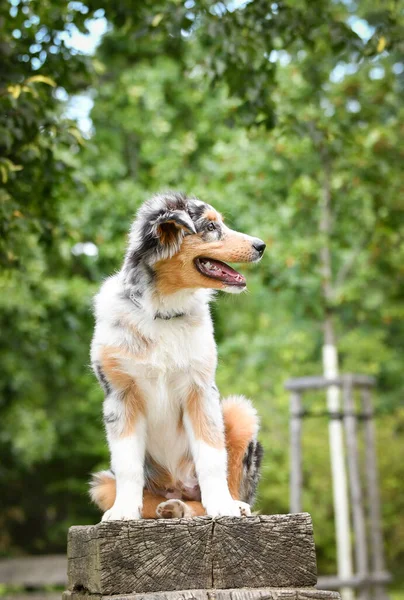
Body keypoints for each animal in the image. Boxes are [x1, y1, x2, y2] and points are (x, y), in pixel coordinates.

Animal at [90, 192, 266, 520]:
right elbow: (127, 464)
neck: (163, 310)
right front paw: (122, 512)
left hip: (239, 411)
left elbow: (211, 455)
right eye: (210, 226)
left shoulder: (201, 389)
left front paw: (222, 505)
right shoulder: (120, 395)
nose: (261, 245)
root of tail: (177, 486)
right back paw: (171, 507)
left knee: (225, 487)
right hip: (104, 483)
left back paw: (227, 505)